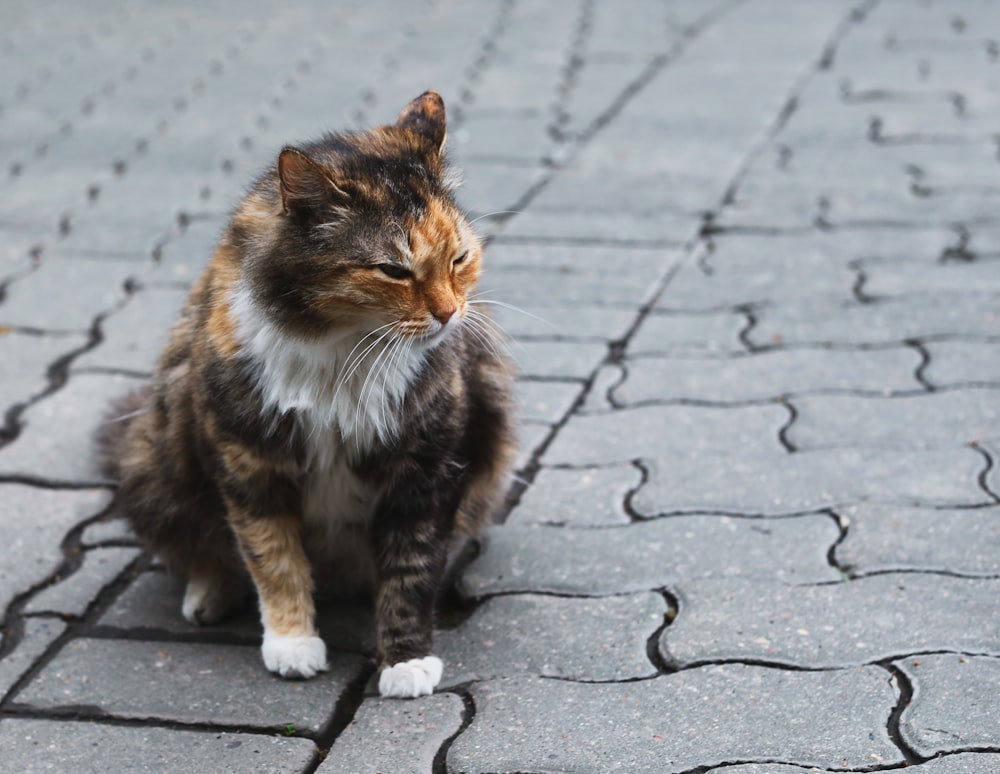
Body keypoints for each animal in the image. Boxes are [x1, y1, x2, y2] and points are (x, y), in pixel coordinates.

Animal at [95, 92, 516, 704]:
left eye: (459, 258)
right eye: (393, 270)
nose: (448, 314)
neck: (345, 347)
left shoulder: (426, 467)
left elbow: (410, 570)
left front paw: (407, 661)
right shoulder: (249, 463)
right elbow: (273, 559)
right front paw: (292, 643)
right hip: (152, 457)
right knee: (201, 547)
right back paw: (208, 595)